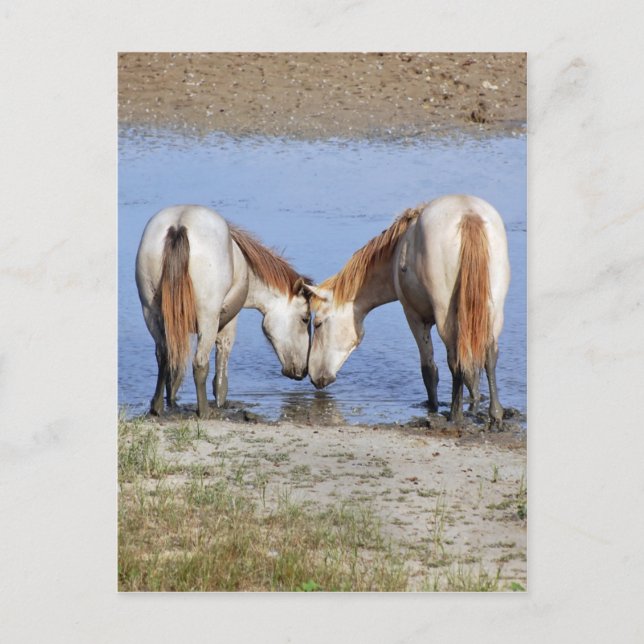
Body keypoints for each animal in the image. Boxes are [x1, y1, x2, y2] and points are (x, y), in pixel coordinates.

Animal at [135, 205, 312, 418]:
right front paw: (219, 402)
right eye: (305, 318)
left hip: (150, 313)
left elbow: (175, 368)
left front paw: (173, 400)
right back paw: (204, 412)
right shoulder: (227, 324)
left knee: (163, 356)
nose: (303, 371)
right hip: (208, 320)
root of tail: (179, 225)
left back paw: (157, 407)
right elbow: (220, 368)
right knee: (200, 364)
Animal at [302, 195, 510, 427]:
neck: (397, 252)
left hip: (445, 315)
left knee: (455, 359)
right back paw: (495, 415)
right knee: (489, 355)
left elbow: (430, 370)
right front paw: (474, 402)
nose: (313, 376)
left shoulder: (414, 317)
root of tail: (468, 215)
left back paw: (455, 416)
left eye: (318, 323)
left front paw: (433, 407)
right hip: (492, 311)